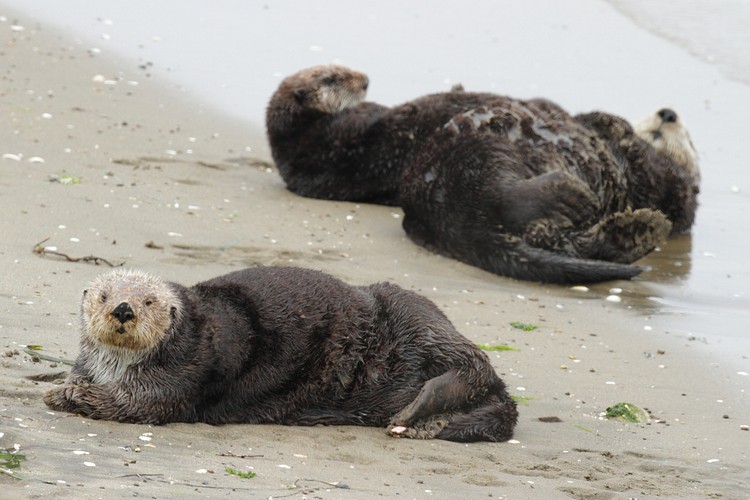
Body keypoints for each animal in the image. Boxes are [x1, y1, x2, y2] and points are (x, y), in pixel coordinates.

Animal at [44, 267, 518, 442]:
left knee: (475, 365)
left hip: (418, 319)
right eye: (104, 295)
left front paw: (63, 395)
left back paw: (414, 415)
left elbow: (135, 402)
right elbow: (86, 377)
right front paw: (65, 384)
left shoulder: (181, 372)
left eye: (149, 301)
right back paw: (428, 423)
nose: (123, 309)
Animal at [399, 104, 699, 283]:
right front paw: (616, 125)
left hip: (480, 157)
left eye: (691, 140)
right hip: (479, 152)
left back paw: (633, 230)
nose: (668, 113)